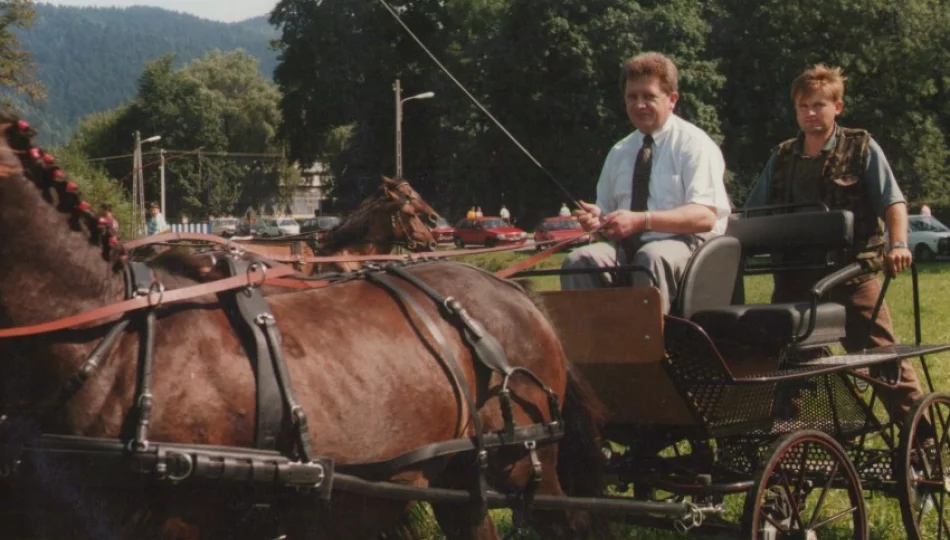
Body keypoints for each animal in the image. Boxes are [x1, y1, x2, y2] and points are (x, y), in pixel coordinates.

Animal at [0, 117, 608, 540]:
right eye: (413, 205)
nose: (442, 229)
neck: (110, 340)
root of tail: (516, 293)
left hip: (521, 461)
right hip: (461, 475)